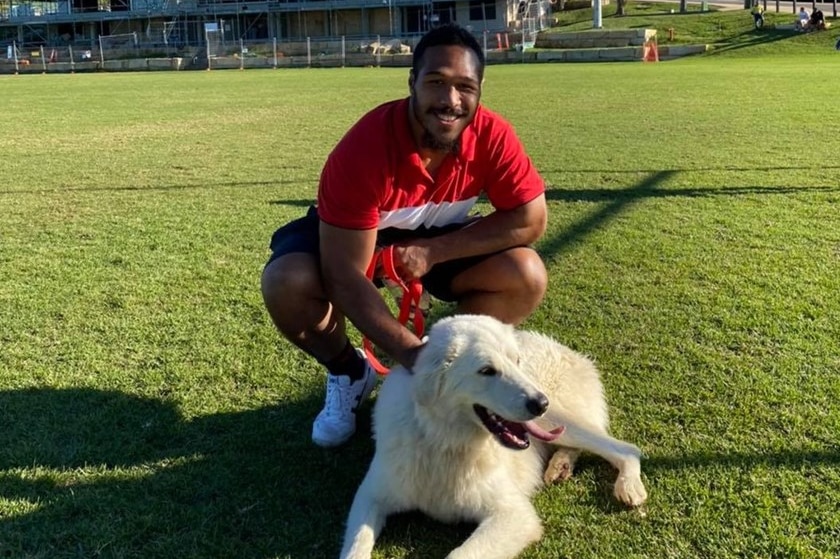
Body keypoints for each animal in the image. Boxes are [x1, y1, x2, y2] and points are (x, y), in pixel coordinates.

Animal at [338, 316, 648, 559]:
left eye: (517, 361)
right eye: (486, 371)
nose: (541, 403)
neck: (444, 441)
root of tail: (571, 353)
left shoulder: (514, 515)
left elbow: (459, 554)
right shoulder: (370, 496)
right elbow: (355, 547)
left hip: (559, 419)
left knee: (625, 448)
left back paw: (627, 485)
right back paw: (560, 466)